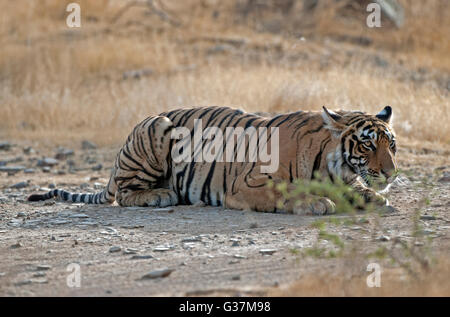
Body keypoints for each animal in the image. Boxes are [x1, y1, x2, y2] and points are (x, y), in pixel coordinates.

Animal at [27, 105, 398, 214]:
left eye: (391, 144)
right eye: (367, 146)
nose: (392, 174)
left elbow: (360, 190)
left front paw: (375, 197)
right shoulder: (248, 185)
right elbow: (287, 191)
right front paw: (315, 202)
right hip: (158, 127)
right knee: (124, 192)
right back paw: (159, 196)